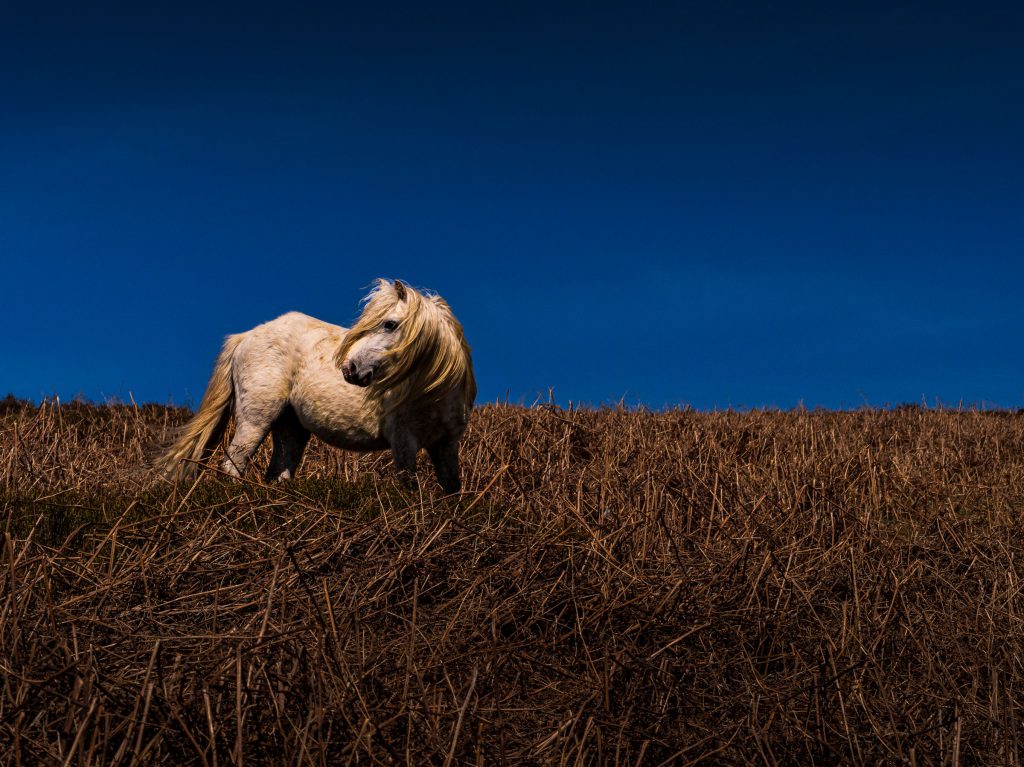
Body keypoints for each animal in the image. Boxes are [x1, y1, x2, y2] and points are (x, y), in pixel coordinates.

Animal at [156, 279, 476, 492]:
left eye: (390, 324)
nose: (350, 369)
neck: (430, 393)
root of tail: (247, 336)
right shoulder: (403, 443)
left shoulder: (447, 446)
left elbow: (451, 489)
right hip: (255, 420)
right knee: (233, 464)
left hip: (291, 427)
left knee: (279, 472)